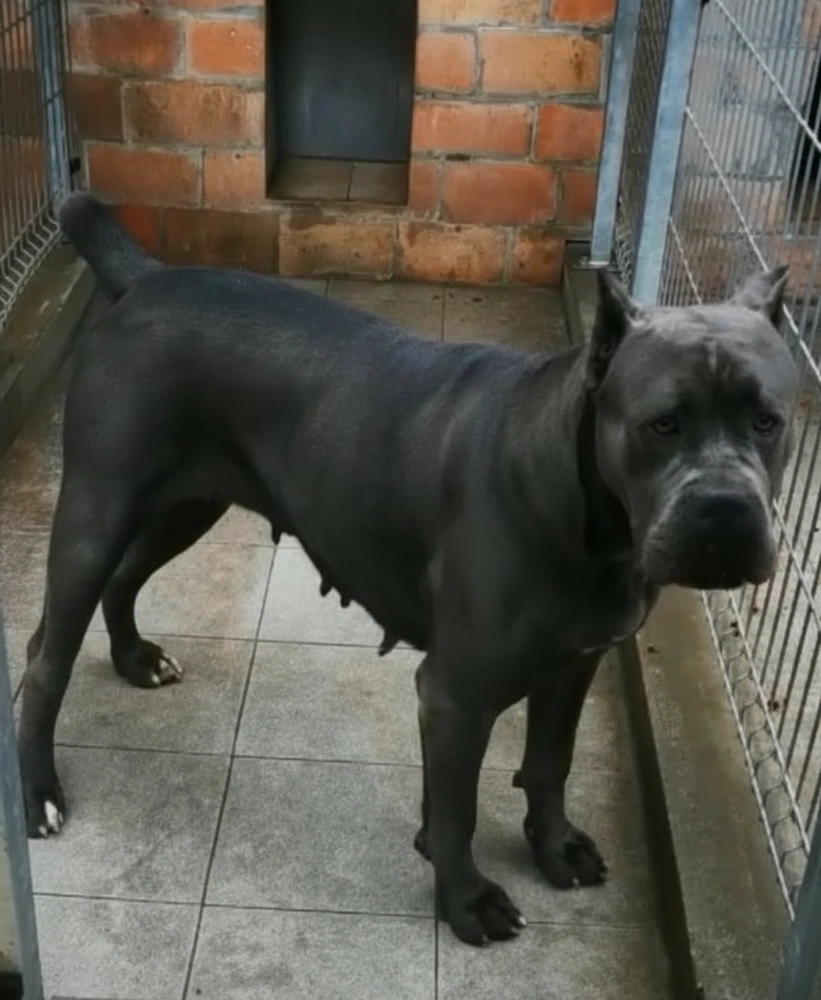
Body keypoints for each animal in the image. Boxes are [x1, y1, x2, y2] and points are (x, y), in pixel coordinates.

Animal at [17, 193, 798, 946]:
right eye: (661, 424)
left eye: (770, 422)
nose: (726, 512)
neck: (591, 522)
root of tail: (148, 277)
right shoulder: (456, 694)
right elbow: (457, 813)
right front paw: (466, 900)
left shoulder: (574, 666)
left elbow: (550, 764)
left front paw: (552, 848)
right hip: (97, 511)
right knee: (46, 657)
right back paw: (38, 794)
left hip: (188, 503)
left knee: (122, 581)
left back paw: (134, 659)